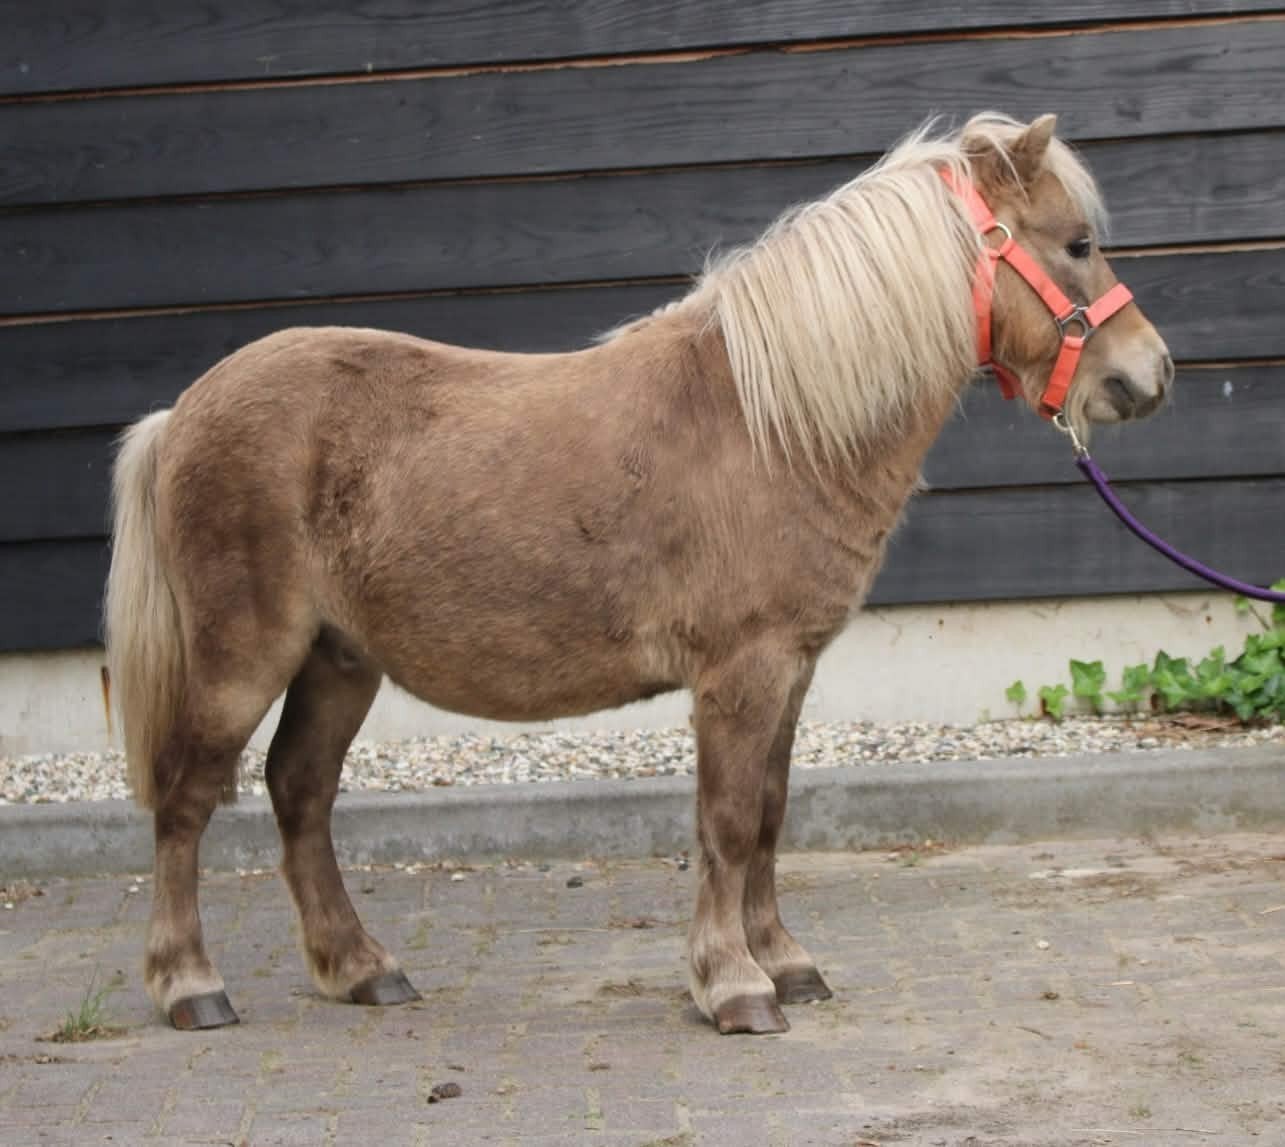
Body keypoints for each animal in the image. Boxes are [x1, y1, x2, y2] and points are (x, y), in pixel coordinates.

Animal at [105, 112, 1173, 1036]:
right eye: (1077, 243)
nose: (1148, 373)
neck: (770, 422)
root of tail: (182, 413)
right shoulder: (741, 671)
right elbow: (729, 822)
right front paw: (734, 985)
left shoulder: (791, 670)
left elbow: (770, 815)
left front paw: (784, 961)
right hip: (245, 657)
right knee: (187, 798)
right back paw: (190, 985)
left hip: (337, 660)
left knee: (301, 793)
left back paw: (362, 968)